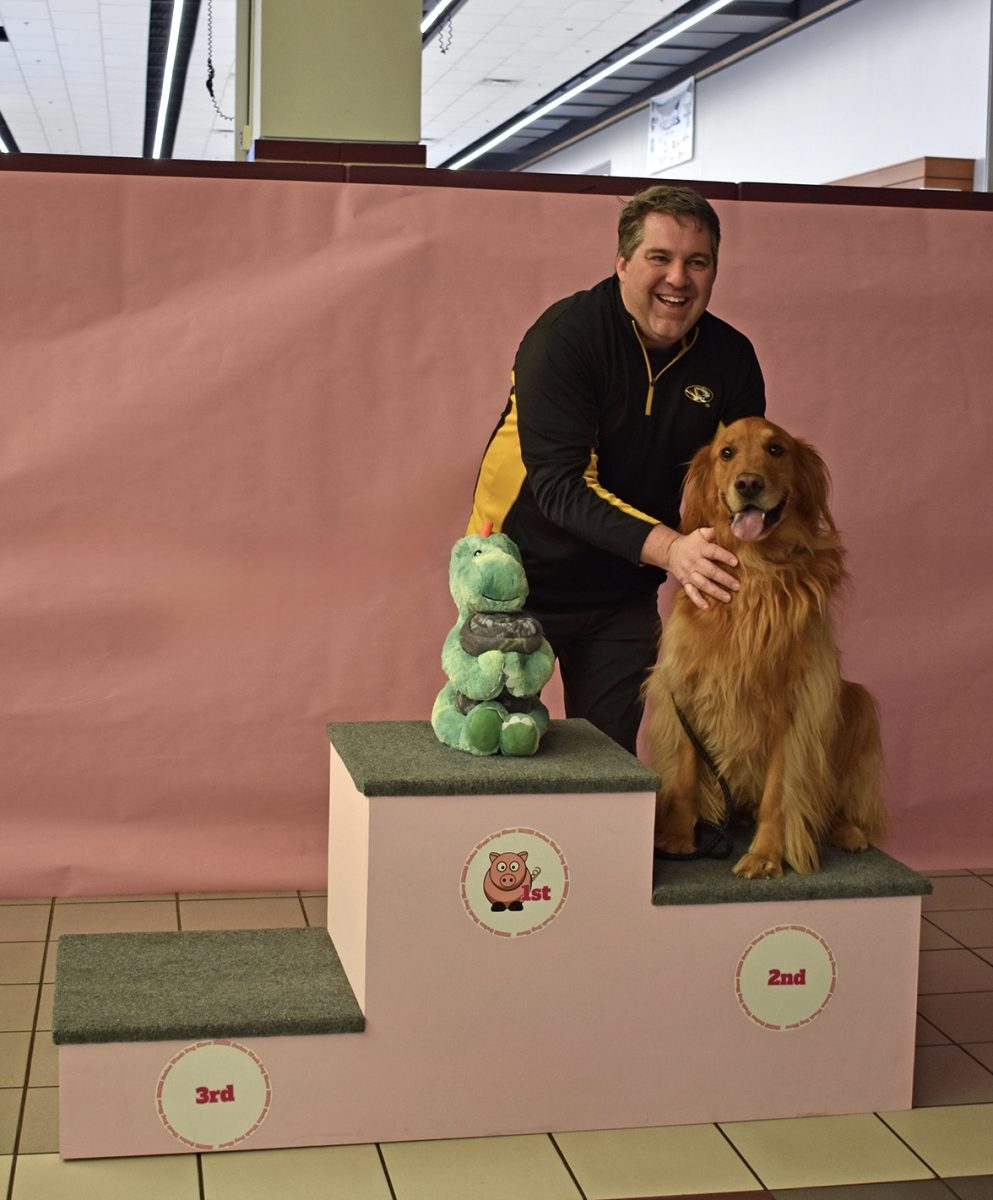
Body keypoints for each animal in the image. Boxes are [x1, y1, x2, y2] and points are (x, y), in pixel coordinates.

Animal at [642, 417, 882, 878]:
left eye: (776, 450)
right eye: (727, 452)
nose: (749, 483)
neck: (754, 573)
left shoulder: (799, 706)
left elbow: (779, 796)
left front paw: (766, 856)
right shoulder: (682, 688)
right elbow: (684, 771)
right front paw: (676, 839)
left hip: (857, 702)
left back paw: (849, 831)